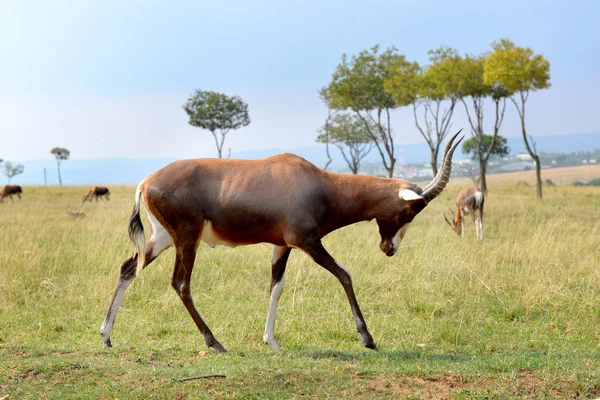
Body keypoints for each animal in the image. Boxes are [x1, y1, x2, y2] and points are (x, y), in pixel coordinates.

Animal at [99, 133, 464, 352]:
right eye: (410, 211)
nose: (389, 249)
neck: (319, 183)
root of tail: (145, 182)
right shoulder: (308, 242)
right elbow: (345, 274)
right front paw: (368, 339)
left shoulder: (282, 245)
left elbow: (276, 286)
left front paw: (271, 342)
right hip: (186, 238)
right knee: (180, 283)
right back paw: (215, 342)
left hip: (162, 238)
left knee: (128, 268)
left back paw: (106, 335)